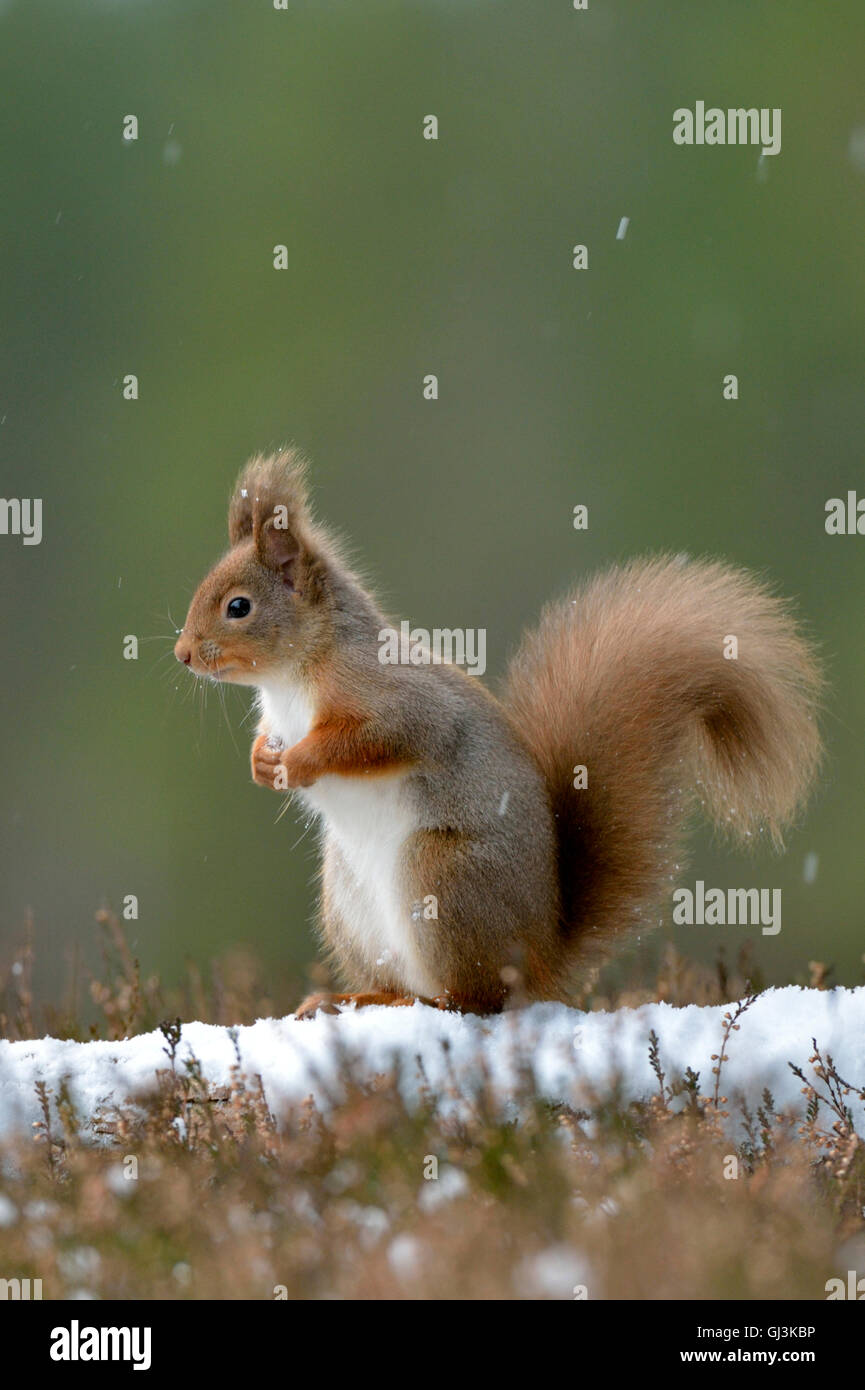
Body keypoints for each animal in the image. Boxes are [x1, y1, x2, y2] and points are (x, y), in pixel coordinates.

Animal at [174, 449, 823, 1019]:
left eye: (238, 607)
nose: (182, 654)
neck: (290, 679)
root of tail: (542, 958)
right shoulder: (278, 718)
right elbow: (268, 739)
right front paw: (263, 764)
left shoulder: (396, 701)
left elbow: (377, 739)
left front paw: (300, 763)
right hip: (349, 903)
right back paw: (353, 999)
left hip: (442, 878)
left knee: (476, 999)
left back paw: (423, 1002)